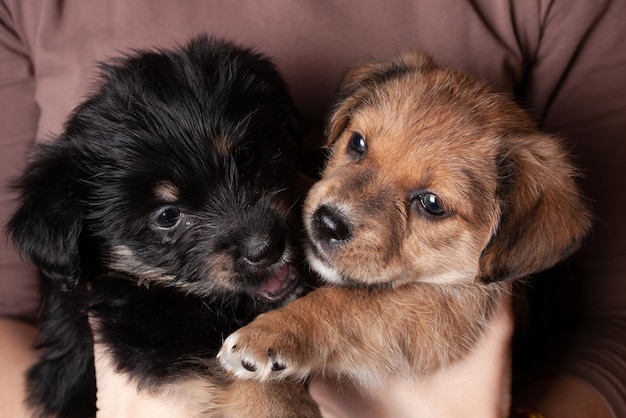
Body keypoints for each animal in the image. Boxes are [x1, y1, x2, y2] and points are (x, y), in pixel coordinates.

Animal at [218, 54, 588, 396]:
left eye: (432, 204)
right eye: (357, 143)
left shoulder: (442, 315)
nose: (327, 222)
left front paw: (272, 332)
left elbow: (345, 304)